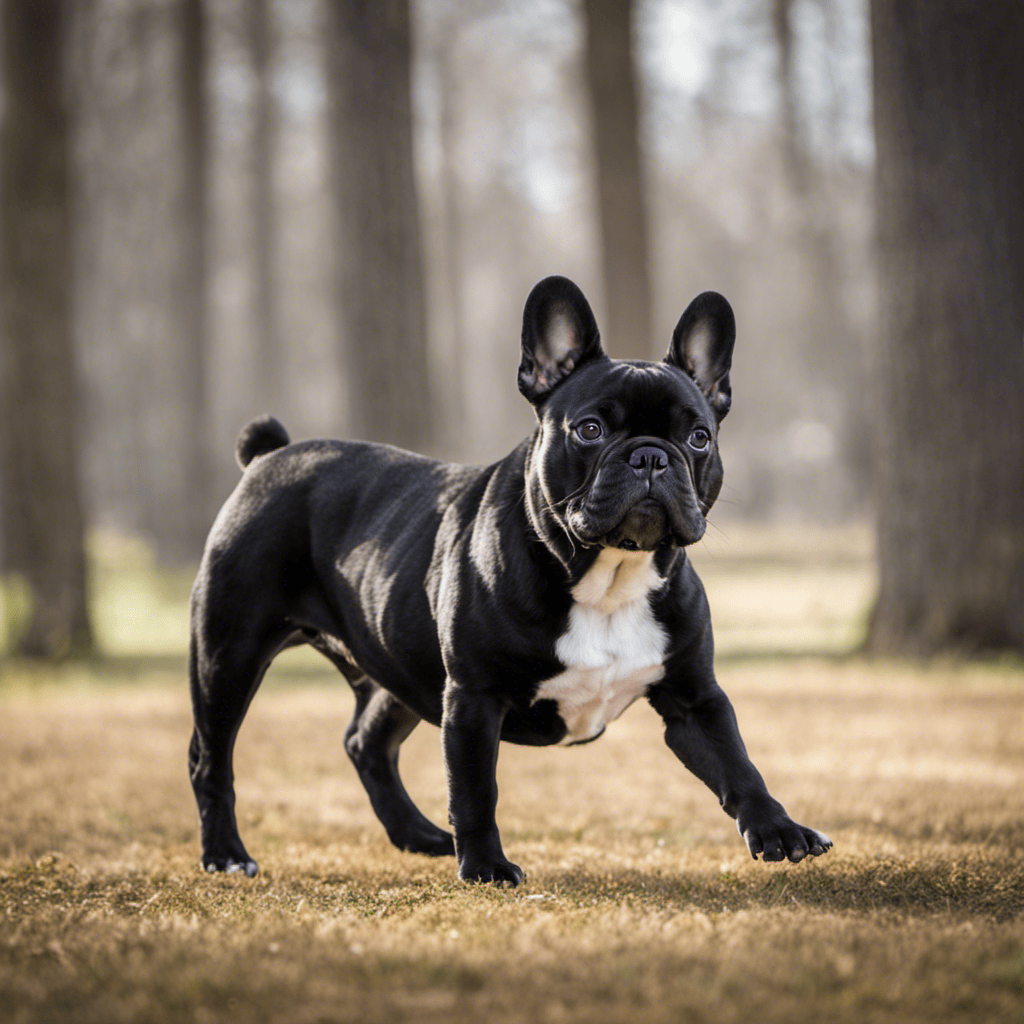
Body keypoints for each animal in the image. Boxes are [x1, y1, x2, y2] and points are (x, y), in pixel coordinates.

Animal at [188, 276, 831, 884]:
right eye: (590, 430)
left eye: (699, 437)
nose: (650, 456)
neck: (608, 578)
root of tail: (270, 457)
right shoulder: (473, 699)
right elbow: (476, 790)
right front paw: (485, 868)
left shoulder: (695, 697)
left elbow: (737, 761)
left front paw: (779, 828)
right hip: (229, 653)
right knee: (210, 757)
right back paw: (227, 856)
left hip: (401, 665)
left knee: (366, 743)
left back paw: (419, 835)